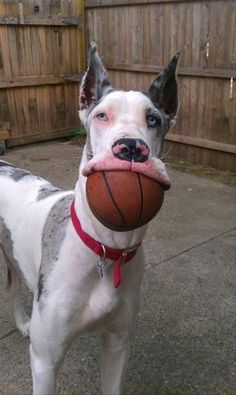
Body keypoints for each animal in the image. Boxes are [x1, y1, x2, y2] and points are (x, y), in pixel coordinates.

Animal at [0, 41, 179, 394]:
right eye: (101, 115)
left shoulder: (117, 344)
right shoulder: (44, 361)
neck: (107, 248)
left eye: (153, 119)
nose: (131, 147)